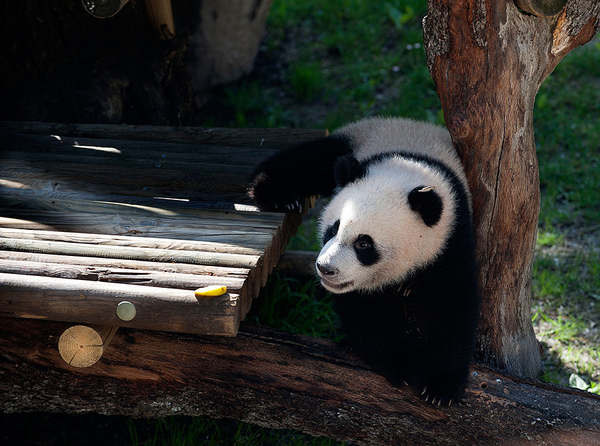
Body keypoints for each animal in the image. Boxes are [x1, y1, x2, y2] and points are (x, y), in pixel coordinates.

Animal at [247, 116, 478, 406]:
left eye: (364, 244)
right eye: (333, 228)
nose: (325, 269)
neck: (411, 169)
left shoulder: (451, 237)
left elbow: (453, 304)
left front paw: (440, 387)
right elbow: (363, 309)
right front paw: (401, 363)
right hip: (353, 140)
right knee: (305, 161)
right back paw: (278, 195)